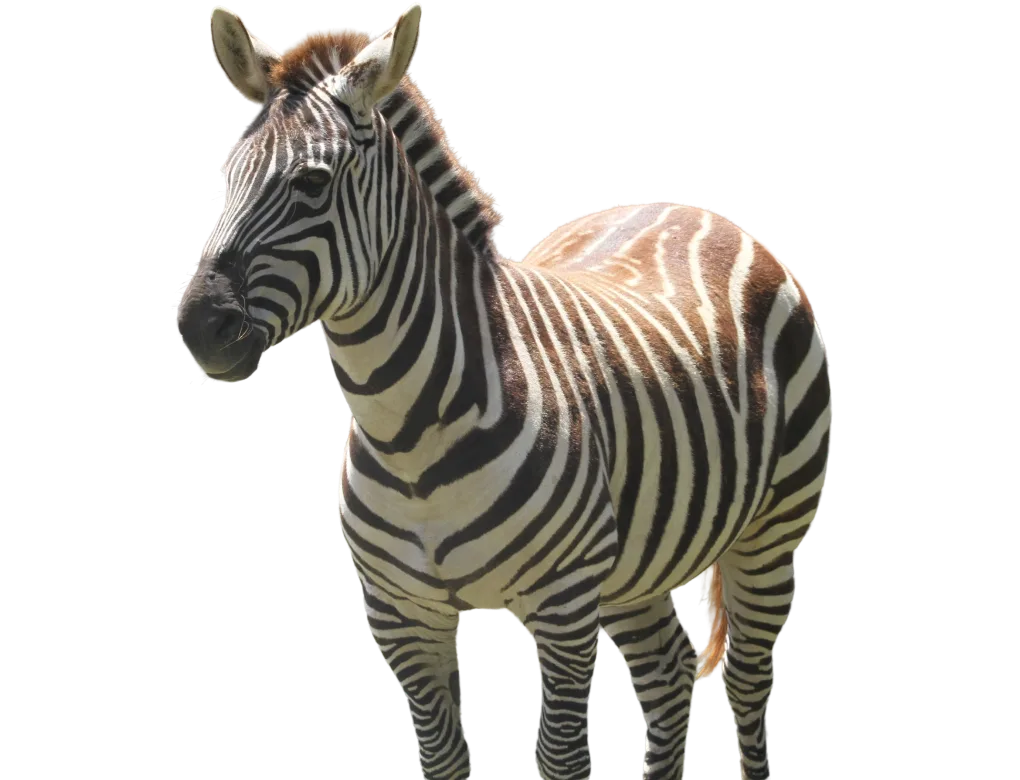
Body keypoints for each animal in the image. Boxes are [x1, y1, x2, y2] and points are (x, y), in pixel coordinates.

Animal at [181, 6, 832, 779]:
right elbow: (442, 758)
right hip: (637, 562)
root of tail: (690, 207)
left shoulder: (562, 608)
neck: (406, 432)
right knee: (670, 686)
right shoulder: (403, 619)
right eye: (225, 180)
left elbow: (560, 758)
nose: (199, 326)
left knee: (746, 686)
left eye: (311, 183)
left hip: (772, 531)